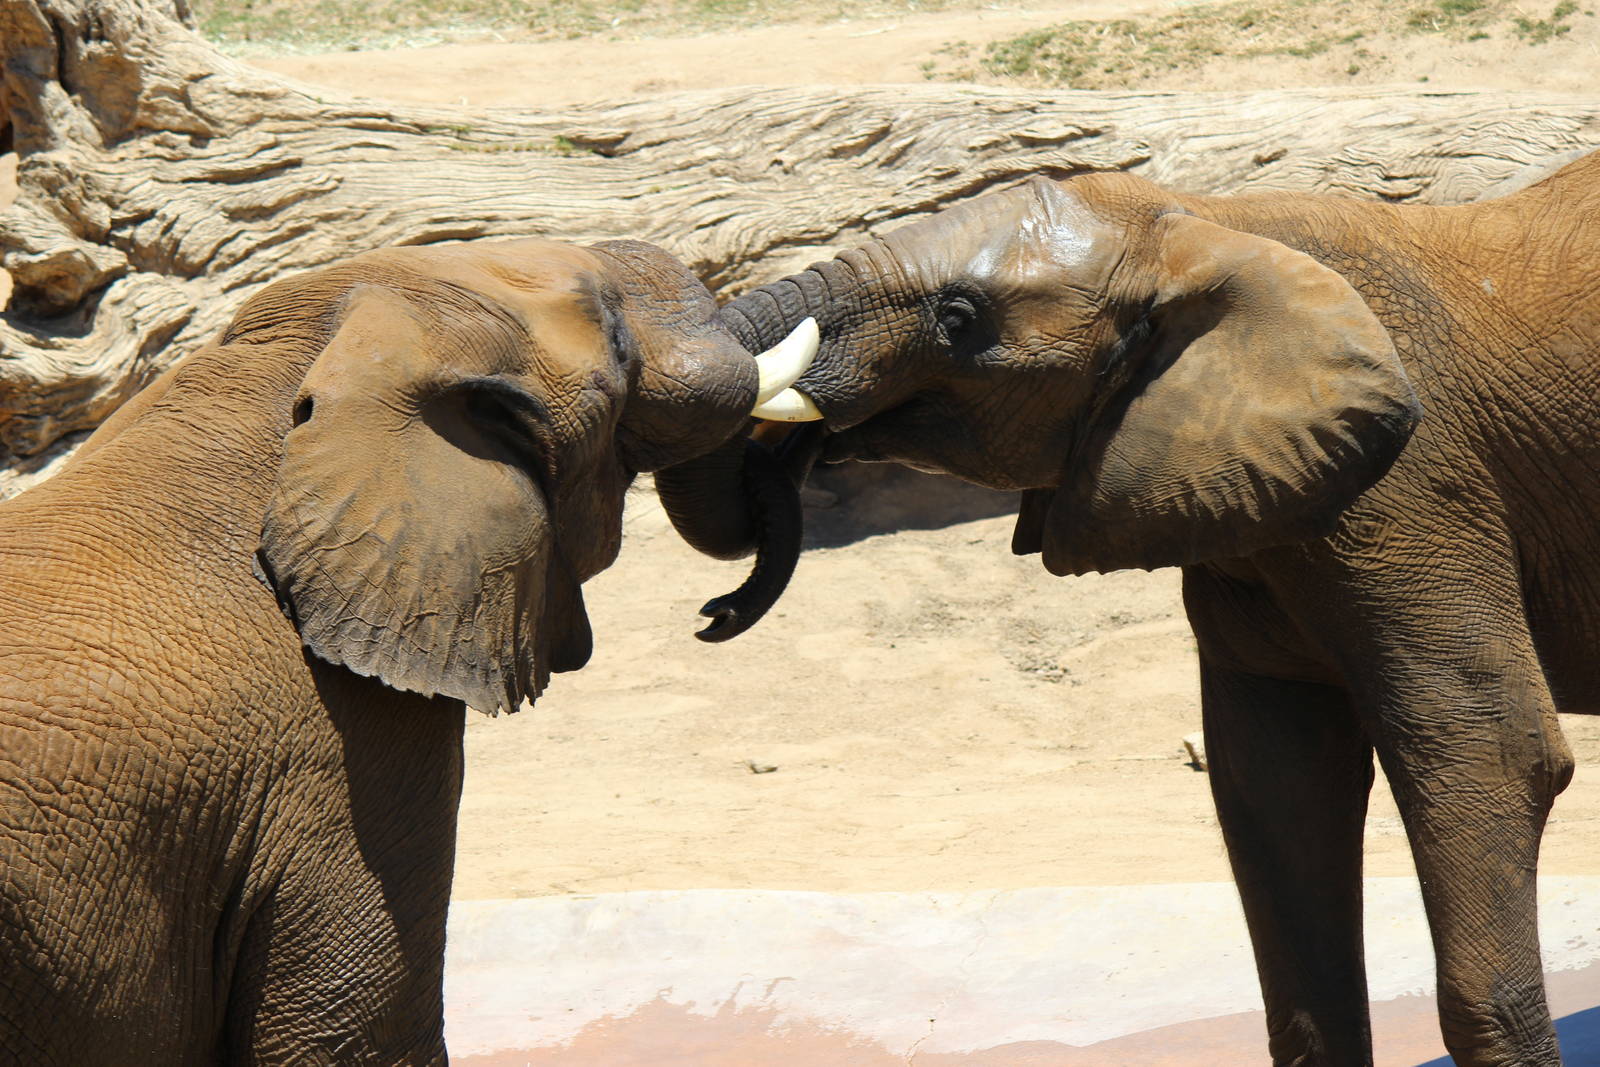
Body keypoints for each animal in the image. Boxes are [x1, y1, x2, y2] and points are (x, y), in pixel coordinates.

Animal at [696, 151, 1600, 1065]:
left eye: (958, 318)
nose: (713, 614)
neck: (1203, 222)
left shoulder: (1415, 486)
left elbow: (1489, 748)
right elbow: (1279, 782)